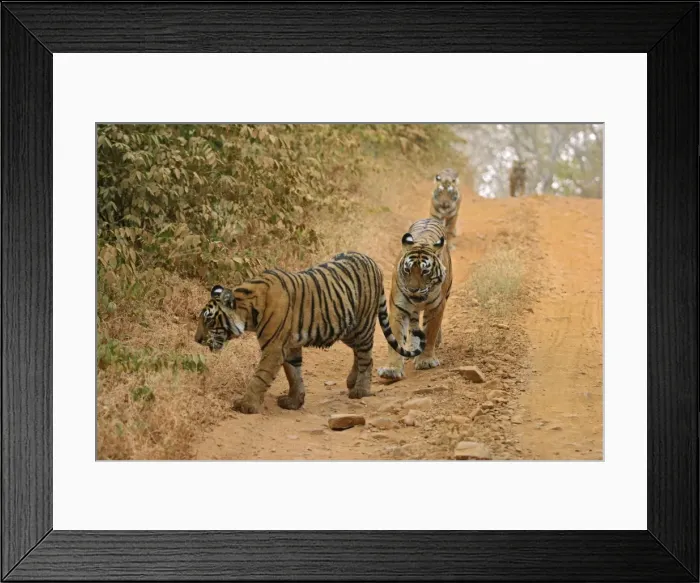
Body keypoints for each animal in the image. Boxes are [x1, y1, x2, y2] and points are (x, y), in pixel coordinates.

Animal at [194, 251, 426, 414]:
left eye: (208, 319)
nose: (197, 340)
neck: (248, 311)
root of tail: (372, 262)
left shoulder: (274, 348)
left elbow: (260, 377)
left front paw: (246, 405)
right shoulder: (289, 345)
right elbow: (293, 374)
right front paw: (294, 401)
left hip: (362, 326)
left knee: (366, 358)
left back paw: (360, 390)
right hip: (348, 330)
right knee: (360, 354)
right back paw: (352, 380)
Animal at [377, 218, 452, 381]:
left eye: (425, 271)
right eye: (407, 270)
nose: (412, 290)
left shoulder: (436, 307)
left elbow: (430, 332)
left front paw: (425, 361)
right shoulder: (399, 308)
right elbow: (397, 337)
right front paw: (391, 369)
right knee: (413, 326)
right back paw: (412, 348)